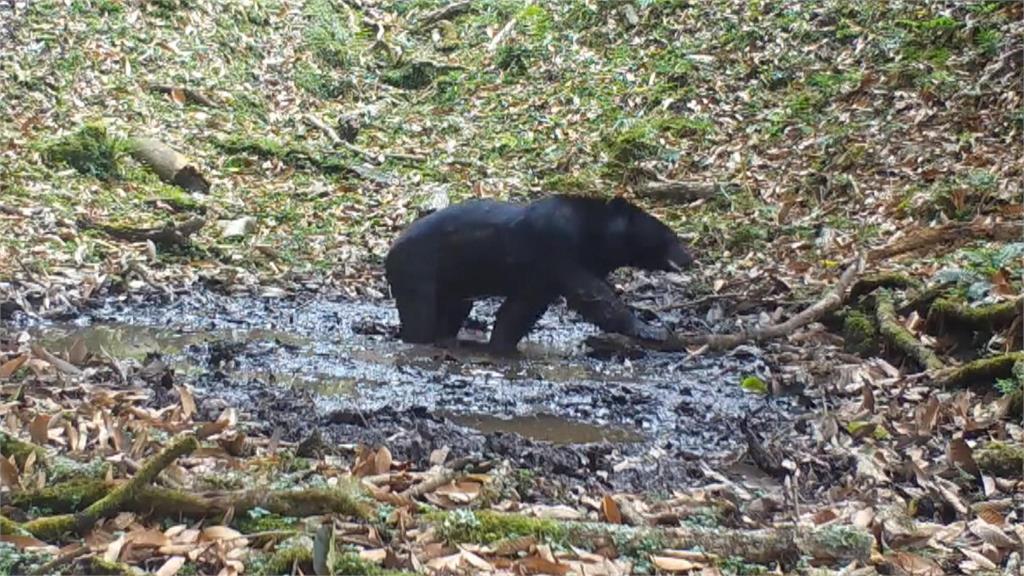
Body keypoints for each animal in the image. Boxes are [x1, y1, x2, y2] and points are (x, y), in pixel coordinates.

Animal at [385, 194, 696, 352]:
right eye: (673, 238)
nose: (689, 258)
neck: (592, 237)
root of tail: (389, 252)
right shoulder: (556, 250)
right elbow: (592, 295)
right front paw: (651, 330)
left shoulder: (541, 276)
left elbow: (520, 311)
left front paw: (503, 344)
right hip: (419, 270)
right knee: (421, 312)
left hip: (454, 279)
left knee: (454, 310)